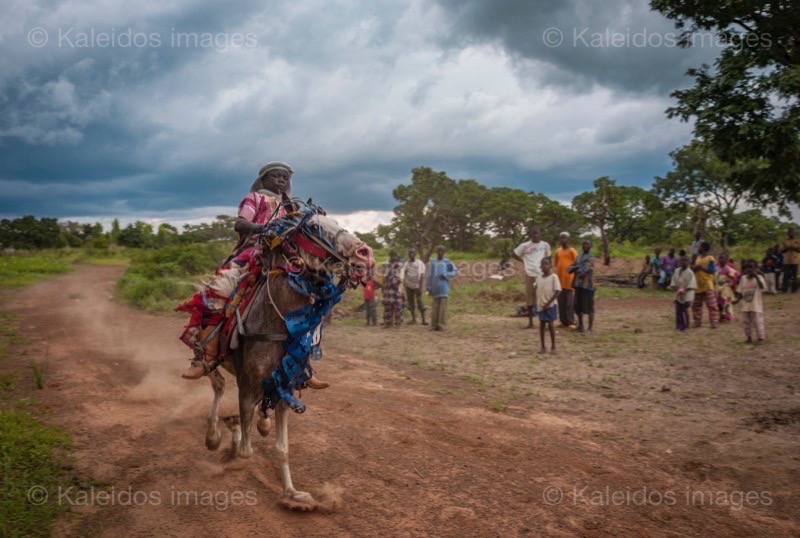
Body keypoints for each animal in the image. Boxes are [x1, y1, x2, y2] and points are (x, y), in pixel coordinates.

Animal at [202, 199, 374, 508]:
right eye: (313, 226)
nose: (364, 254)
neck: (277, 320)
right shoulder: (248, 384)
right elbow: (245, 450)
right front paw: (233, 438)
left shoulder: (285, 385)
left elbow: (282, 447)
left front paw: (293, 494)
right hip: (207, 352)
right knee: (216, 382)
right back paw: (214, 435)